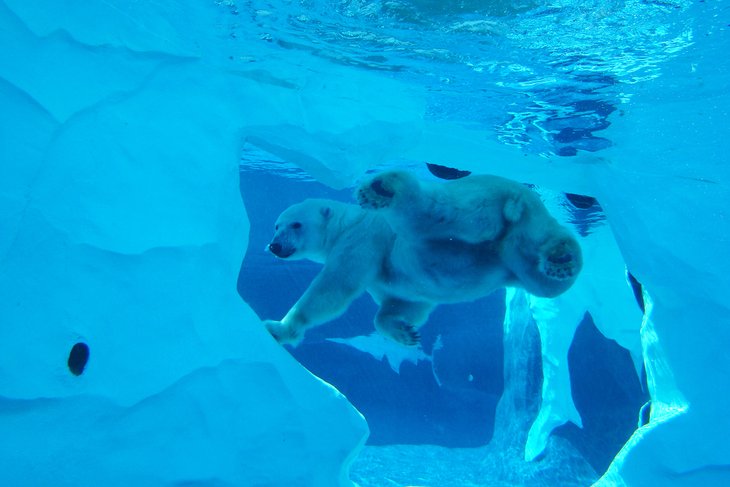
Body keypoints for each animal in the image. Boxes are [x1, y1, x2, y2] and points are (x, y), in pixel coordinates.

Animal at [262, 172, 580, 346]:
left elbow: (334, 288)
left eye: (296, 225)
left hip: (468, 201)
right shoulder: (386, 280)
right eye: (276, 225)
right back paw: (562, 259)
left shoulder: (362, 239)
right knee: (544, 280)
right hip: (519, 249)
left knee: (430, 209)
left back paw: (383, 187)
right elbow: (407, 303)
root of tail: (516, 197)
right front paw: (405, 332)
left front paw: (279, 328)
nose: (274, 246)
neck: (347, 223)